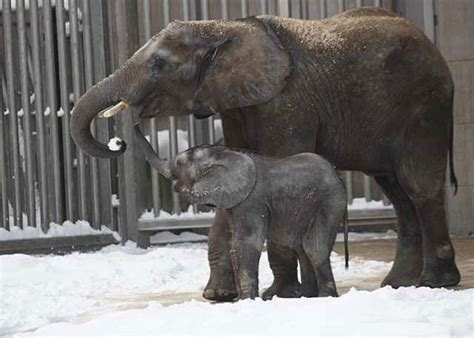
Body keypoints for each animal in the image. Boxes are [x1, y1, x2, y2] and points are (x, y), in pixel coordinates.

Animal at [135, 125, 346, 300]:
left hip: (329, 204)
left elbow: (246, 242)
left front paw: (246, 301)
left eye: (179, 163)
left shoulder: (251, 200)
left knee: (314, 247)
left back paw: (325, 297)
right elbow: (235, 243)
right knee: (302, 248)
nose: (136, 123)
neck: (225, 154)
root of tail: (338, 177)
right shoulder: (236, 201)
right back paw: (307, 297)